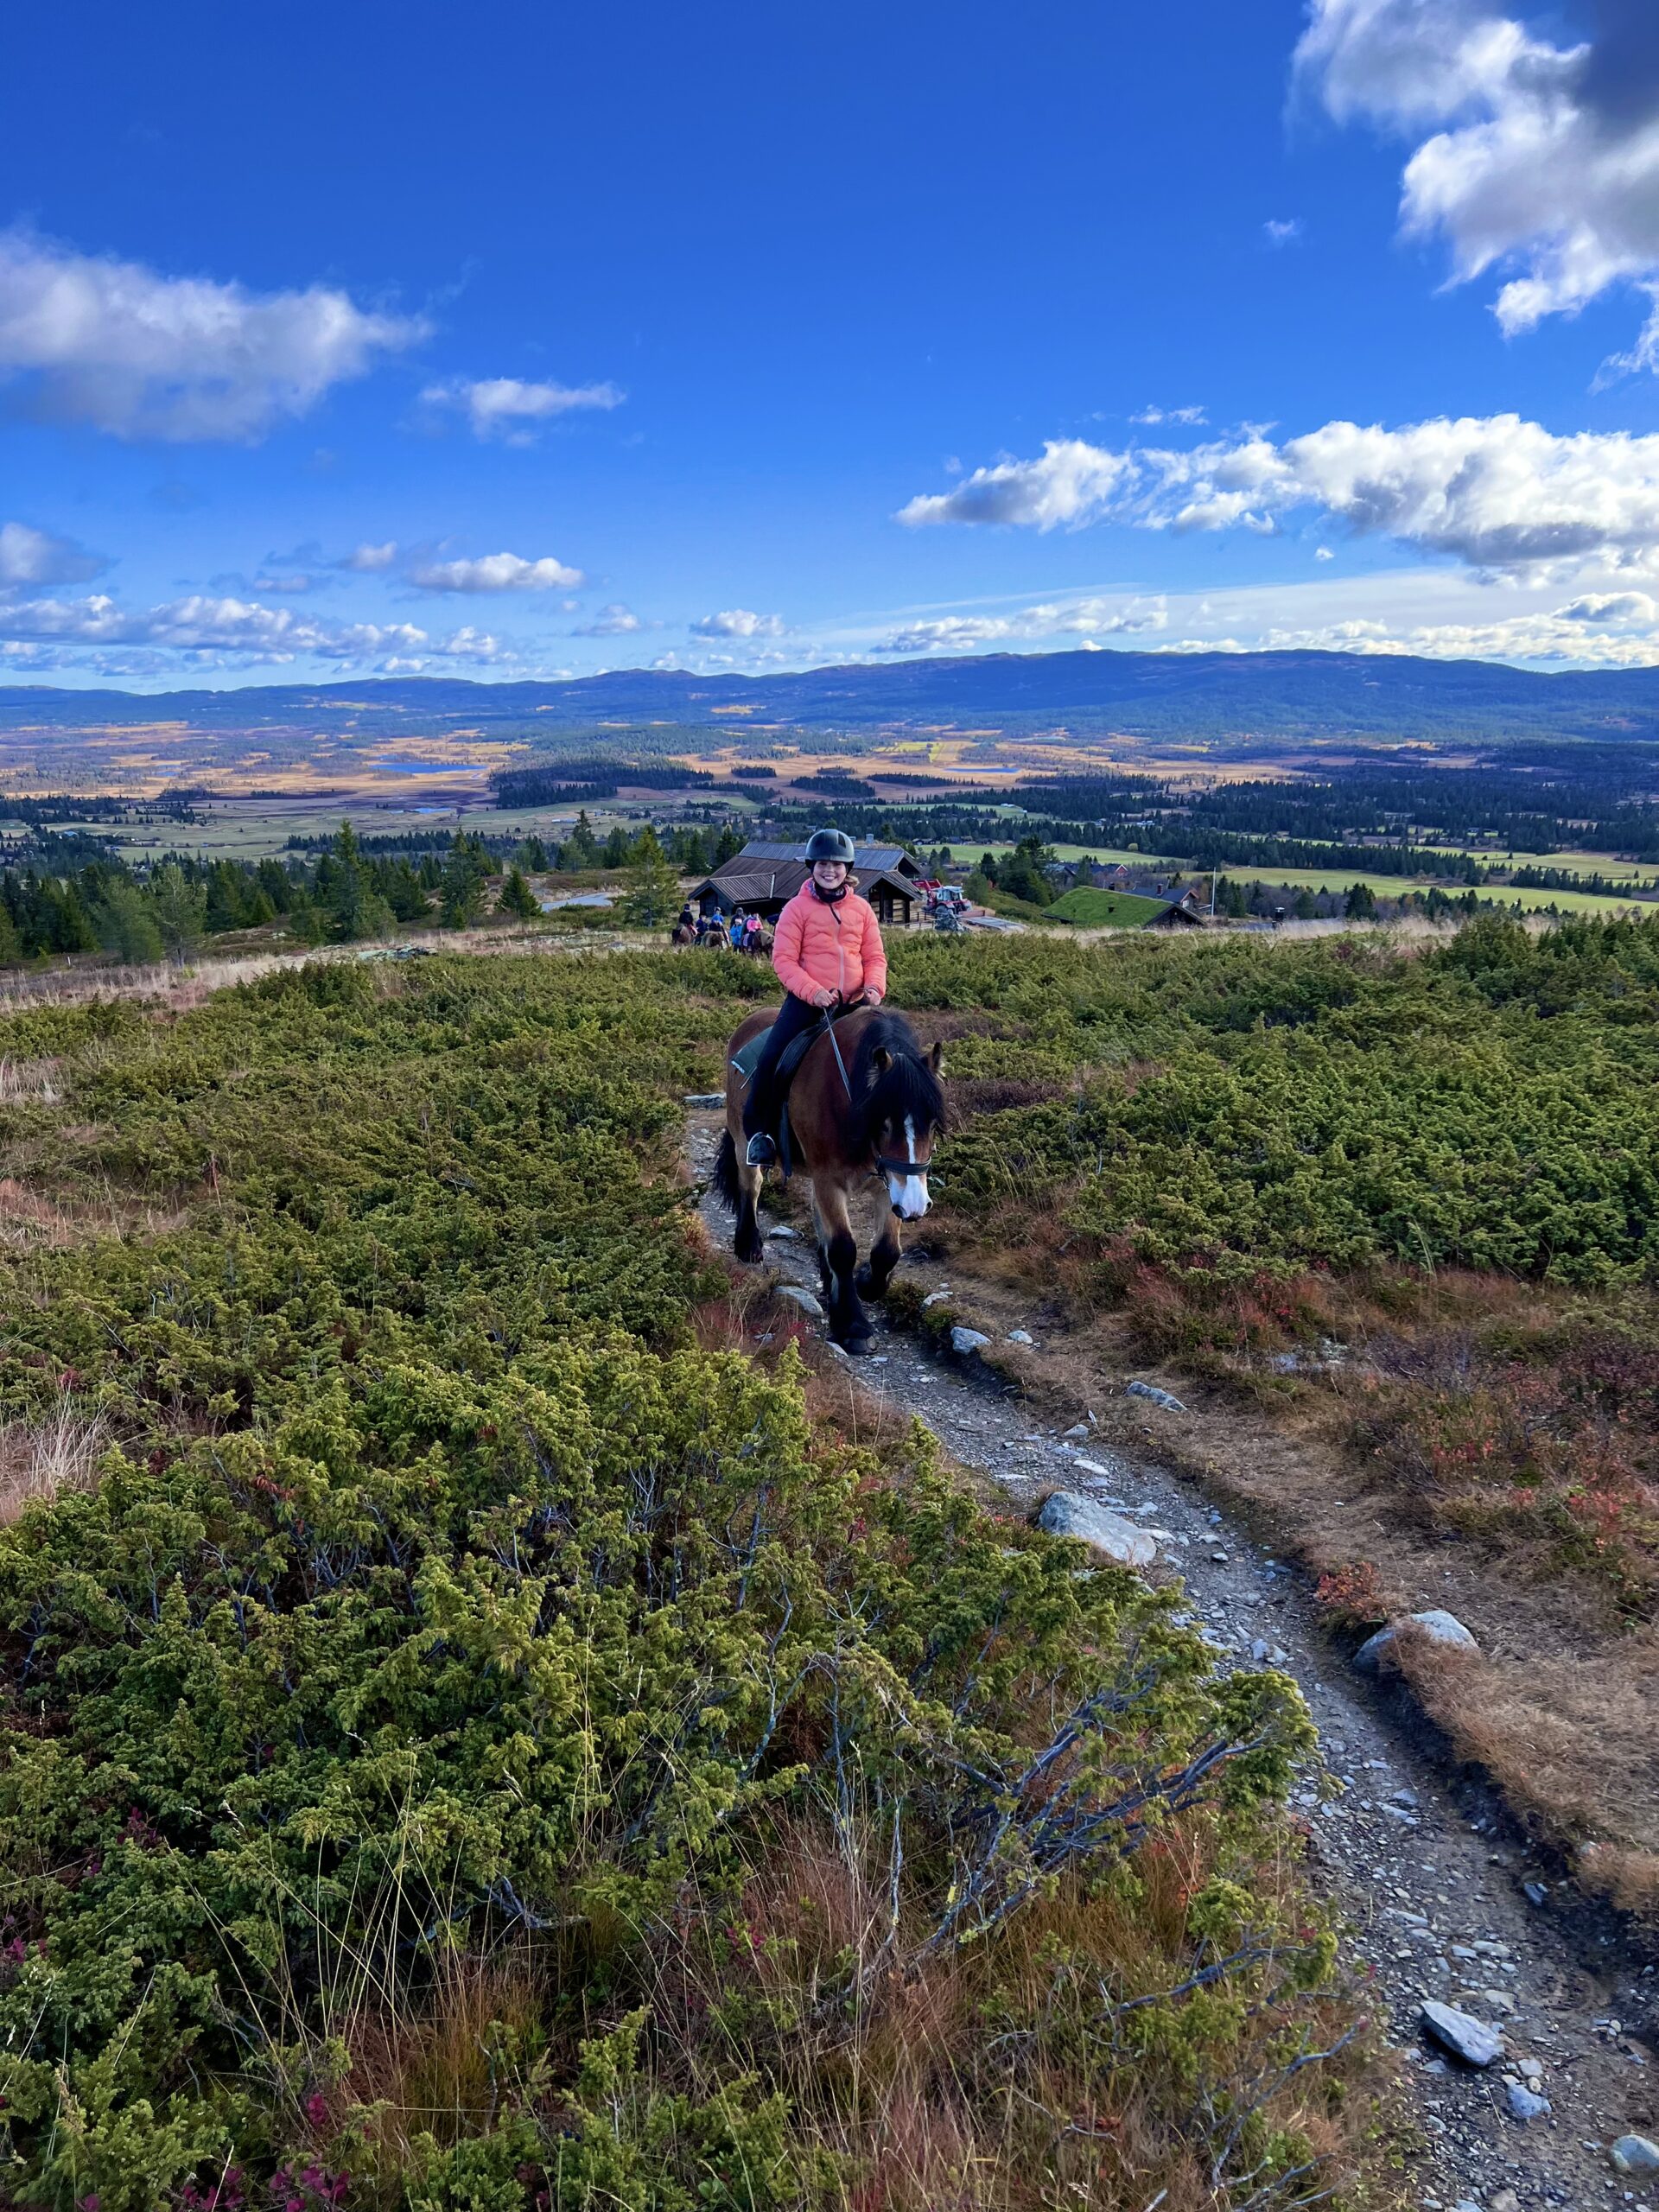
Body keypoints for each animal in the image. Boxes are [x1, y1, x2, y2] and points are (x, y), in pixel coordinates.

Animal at [716, 1013, 946, 1353]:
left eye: (931, 1124)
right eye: (884, 1123)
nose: (916, 1205)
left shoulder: (890, 1186)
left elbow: (887, 1251)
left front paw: (865, 1283)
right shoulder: (831, 1181)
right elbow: (843, 1248)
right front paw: (853, 1326)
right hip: (743, 1140)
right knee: (751, 1189)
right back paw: (748, 1246)